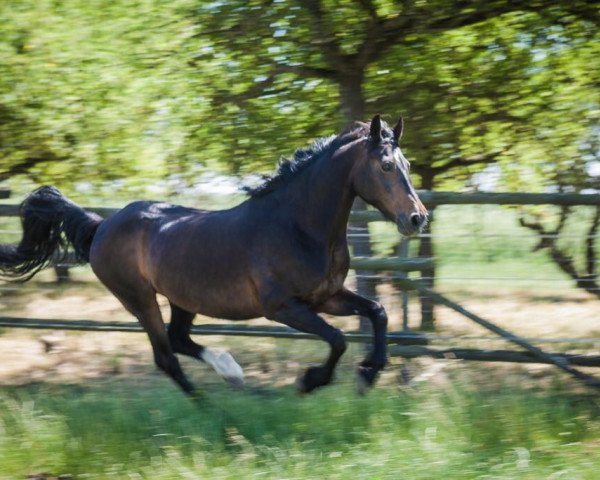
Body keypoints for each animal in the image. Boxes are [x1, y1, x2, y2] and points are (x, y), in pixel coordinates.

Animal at [0, 115, 426, 394]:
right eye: (386, 165)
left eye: (407, 163)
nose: (417, 218)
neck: (298, 226)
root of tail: (101, 225)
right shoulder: (283, 307)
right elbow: (337, 339)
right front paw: (311, 381)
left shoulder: (326, 297)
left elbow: (378, 312)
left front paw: (370, 372)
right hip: (139, 299)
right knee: (166, 356)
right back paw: (217, 413)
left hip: (182, 299)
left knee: (178, 340)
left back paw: (231, 373)